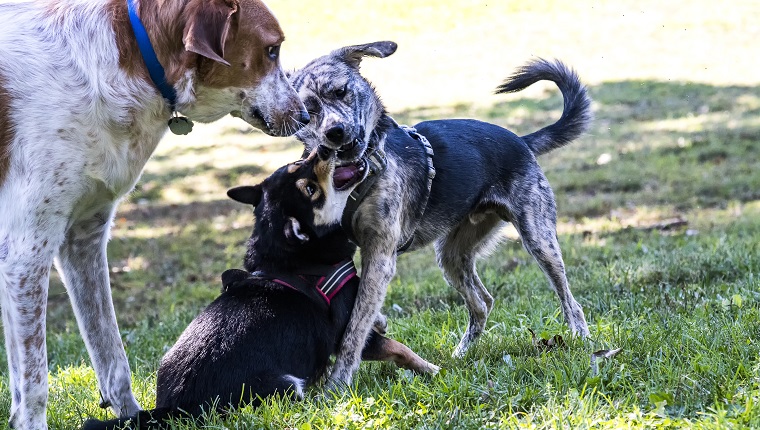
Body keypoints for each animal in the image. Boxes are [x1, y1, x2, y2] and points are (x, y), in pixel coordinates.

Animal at [0, 0, 308, 430]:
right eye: (272, 50)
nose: (307, 114)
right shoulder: (25, 252)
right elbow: (33, 385)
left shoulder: (82, 242)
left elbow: (112, 359)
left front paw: (131, 418)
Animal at [80, 153, 436, 428]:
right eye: (309, 189)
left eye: (296, 163)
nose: (322, 149)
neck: (298, 258)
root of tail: (173, 408)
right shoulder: (346, 332)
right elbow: (397, 348)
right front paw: (430, 368)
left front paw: (385, 323)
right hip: (286, 385)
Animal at [290, 41, 592, 390]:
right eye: (309, 110)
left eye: (341, 91)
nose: (335, 132)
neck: (352, 176)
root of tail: (521, 141)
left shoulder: (380, 255)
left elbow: (356, 325)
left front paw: (338, 382)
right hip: (451, 254)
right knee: (482, 302)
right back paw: (461, 353)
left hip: (539, 239)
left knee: (569, 300)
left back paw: (581, 338)